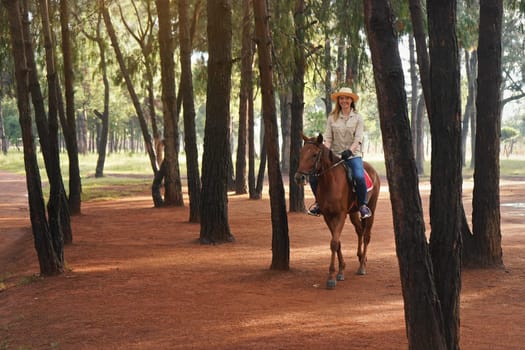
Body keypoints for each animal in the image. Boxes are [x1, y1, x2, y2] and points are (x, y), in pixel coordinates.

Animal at [290, 134, 380, 290]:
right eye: (302, 153)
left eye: (314, 155)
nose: (299, 177)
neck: (330, 182)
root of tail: (373, 170)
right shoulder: (328, 216)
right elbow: (337, 242)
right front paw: (341, 271)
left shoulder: (340, 215)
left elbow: (334, 243)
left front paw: (331, 277)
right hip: (353, 212)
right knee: (359, 231)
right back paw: (361, 257)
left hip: (371, 209)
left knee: (367, 235)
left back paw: (362, 267)